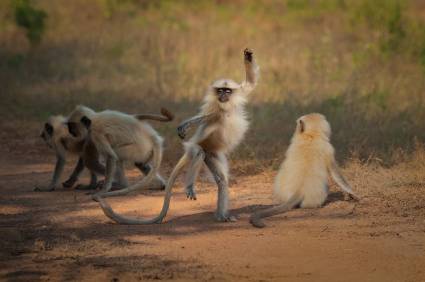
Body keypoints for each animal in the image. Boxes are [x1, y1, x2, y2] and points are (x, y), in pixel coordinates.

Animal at [95, 48, 258, 225]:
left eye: (227, 91)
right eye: (220, 90)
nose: (222, 95)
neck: (225, 107)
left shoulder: (235, 96)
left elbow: (250, 84)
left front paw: (248, 57)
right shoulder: (214, 110)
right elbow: (204, 118)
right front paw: (185, 125)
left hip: (213, 154)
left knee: (222, 180)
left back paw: (222, 216)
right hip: (201, 150)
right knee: (199, 152)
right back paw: (191, 187)